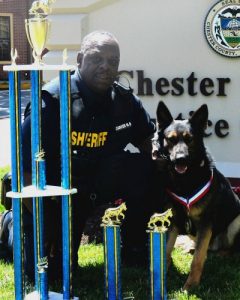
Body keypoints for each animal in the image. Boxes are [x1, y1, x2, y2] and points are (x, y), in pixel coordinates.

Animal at [153, 101, 240, 290]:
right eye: (171, 139)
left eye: (189, 139)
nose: (181, 159)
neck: (185, 181)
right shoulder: (174, 221)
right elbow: (166, 250)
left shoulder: (205, 225)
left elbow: (198, 260)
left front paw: (191, 285)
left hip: (237, 221)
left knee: (226, 250)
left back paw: (219, 254)